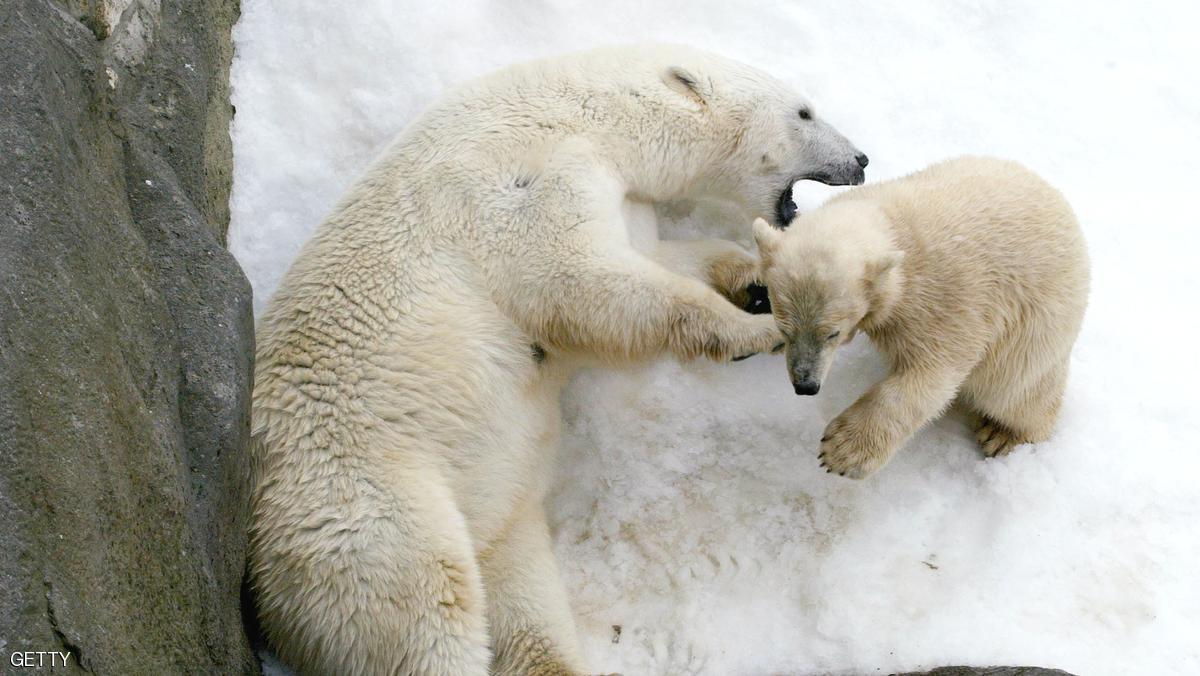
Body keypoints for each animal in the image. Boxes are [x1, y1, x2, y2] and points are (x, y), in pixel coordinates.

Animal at [250, 45, 864, 672]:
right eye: (804, 112)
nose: (861, 159)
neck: (587, 113)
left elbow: (652, 255)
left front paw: (760, 280)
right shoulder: (523, 184)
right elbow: (584, 281)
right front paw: (759, 330)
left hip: (497, 507)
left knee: (524, 602)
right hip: (363, 498)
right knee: (424, 606)